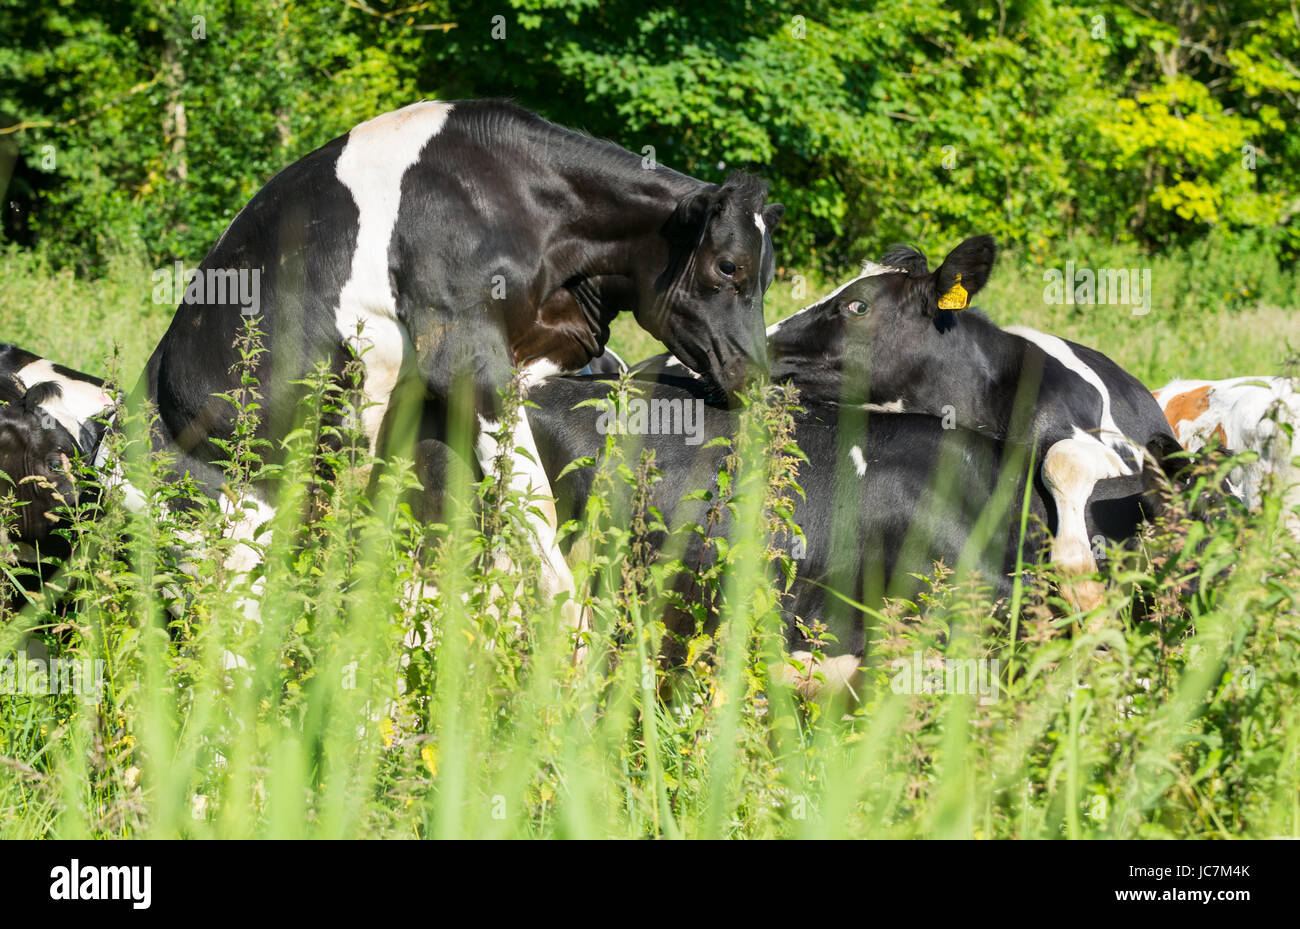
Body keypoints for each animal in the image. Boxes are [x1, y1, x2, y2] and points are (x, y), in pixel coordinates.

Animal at [137, 98, 780, 631]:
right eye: (728, 266)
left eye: (768, 275)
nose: (756, 376)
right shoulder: (464, 350)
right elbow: (535, 508)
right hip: (232, 529)